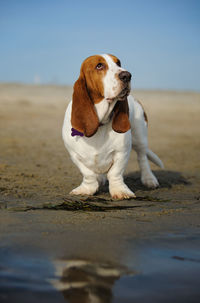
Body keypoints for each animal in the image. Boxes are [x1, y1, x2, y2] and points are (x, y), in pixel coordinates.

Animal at [63, 53, 164, 201]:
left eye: (118, 63)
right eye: (99, 65)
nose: (127, 75)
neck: (101, 121)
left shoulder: (122, 152)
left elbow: (115, 173)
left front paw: (120, 191)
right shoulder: (75, 155)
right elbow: (88, 174)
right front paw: (86, 189)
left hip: (140, 137)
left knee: (142, 158)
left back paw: (149, 179)